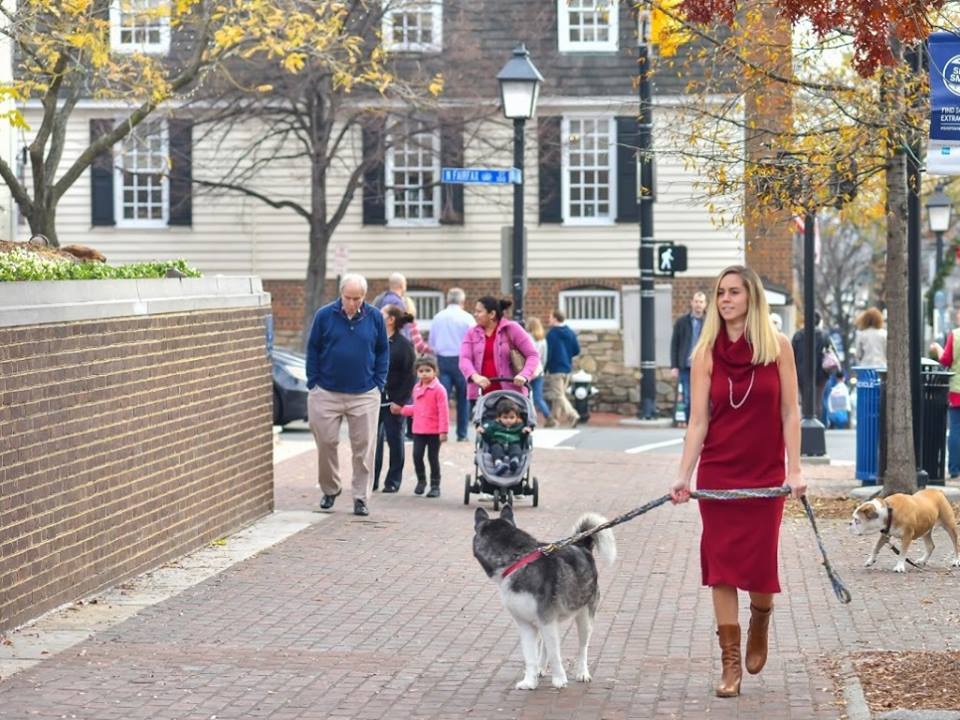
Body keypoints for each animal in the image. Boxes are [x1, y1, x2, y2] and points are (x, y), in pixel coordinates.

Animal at [470, 504, 616, 688]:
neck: (518, 560)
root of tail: (581, 545)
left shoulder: (546, 620)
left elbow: (555, 654)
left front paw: (559, 679)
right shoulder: (526, 625)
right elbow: (530, 657)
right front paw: (529, 681)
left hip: (583, 618)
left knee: (582, 648)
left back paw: (582, 673)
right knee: (546, 645)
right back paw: (541, 668)